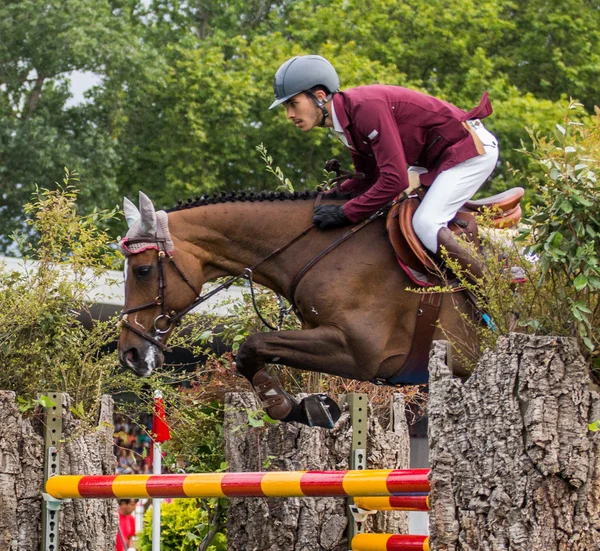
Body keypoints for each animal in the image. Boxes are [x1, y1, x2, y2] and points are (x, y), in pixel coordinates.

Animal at [117, 192, 478, 430]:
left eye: (143, 271)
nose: (129, 354)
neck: (327, 248)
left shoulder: (358, 352)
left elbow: (252, 346)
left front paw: (293, 406)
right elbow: (254, 353)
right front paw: (304, 407)